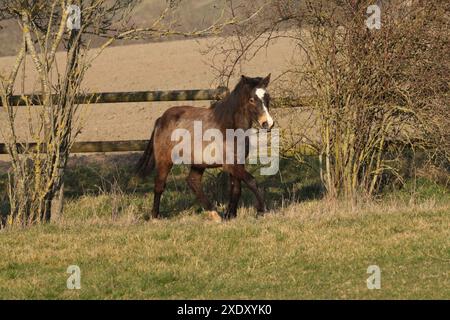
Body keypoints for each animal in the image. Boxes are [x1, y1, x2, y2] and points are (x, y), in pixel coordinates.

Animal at [135, 74, 272, 220]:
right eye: (251, 99)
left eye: (267, 97)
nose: (267, 123)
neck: (229, 128)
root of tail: (161, 119)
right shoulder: (230, 165)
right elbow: (251, 181)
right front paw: (262, 210)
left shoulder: (238, 163)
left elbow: (236, 189)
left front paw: (231, 215)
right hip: (165, 160)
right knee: (159, 184)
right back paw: (155, 217)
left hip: (198, 163)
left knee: (193, 181)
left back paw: (214, 214)